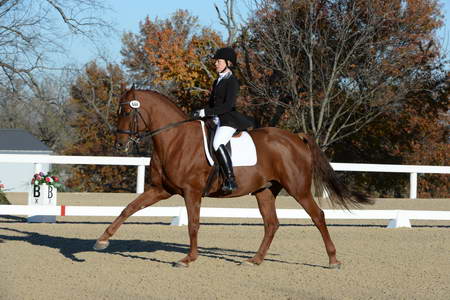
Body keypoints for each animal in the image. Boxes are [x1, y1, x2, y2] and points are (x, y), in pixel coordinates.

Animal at [93, 88, 370, 268]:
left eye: (126, 113)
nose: (119, 145)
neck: (175, 139)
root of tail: (296, 137)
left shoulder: (192, 192)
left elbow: (194, 224)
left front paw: (188, 259)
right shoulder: (161, 189)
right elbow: (129, 208)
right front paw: (102, 240)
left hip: (298, 188)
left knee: (318, 216)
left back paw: (333, 260)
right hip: (265, 190)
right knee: (272, 224)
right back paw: (255, 260)